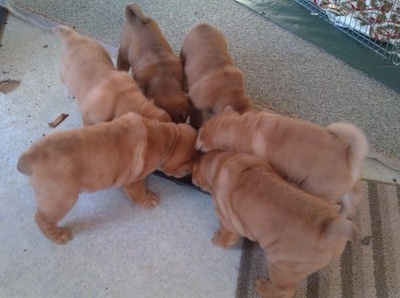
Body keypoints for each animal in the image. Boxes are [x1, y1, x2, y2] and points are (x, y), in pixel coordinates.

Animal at [17, 113, 198, 243]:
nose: (190, 174)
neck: (163, 137)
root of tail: (29, 158)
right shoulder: (133, 182)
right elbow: (139, 193)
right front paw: (148, 199)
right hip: (62, 199)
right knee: (42, 218)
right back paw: (59, 235)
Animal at [192, 151, 358, 298]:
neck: (223, 162)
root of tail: (329, 229)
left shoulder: (226, 222)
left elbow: (226, 237)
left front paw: (217, 239)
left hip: (281, 267)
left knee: (283, 292)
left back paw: (262, 287)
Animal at [195, 108, 368, 218]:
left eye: (200, 135)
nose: (195, 143)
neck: (243, 128)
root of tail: (350, 158)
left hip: (317, 189)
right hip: (346, 191)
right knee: (351, 204)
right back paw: (341, 214)